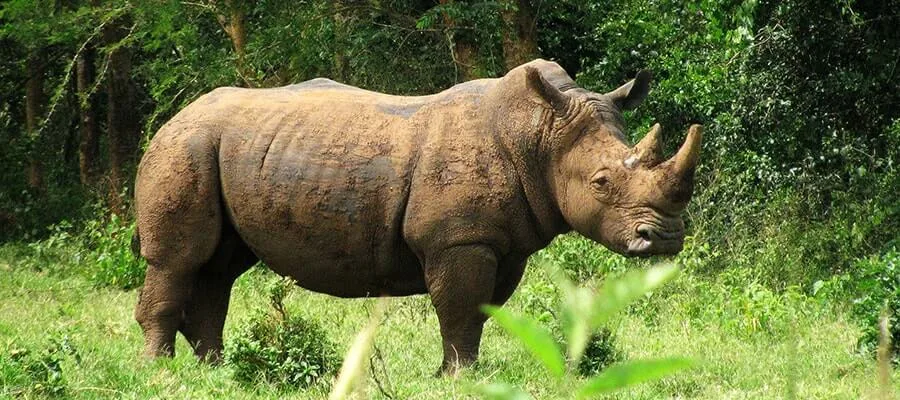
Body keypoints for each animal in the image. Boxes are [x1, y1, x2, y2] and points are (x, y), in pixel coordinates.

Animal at [133, 59, 701, 373]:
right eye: (601, 183)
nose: (665, 238)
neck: (538, 135)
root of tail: (172, 116)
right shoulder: (460, 238)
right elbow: (461, 308)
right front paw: (458, 379)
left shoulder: (503, 241)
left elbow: (479, 312)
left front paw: (458, 374)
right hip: (185, 146)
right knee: (179, 261)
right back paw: (161, 372)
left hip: (229, 149)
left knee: (218, 268)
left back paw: (213, 371)